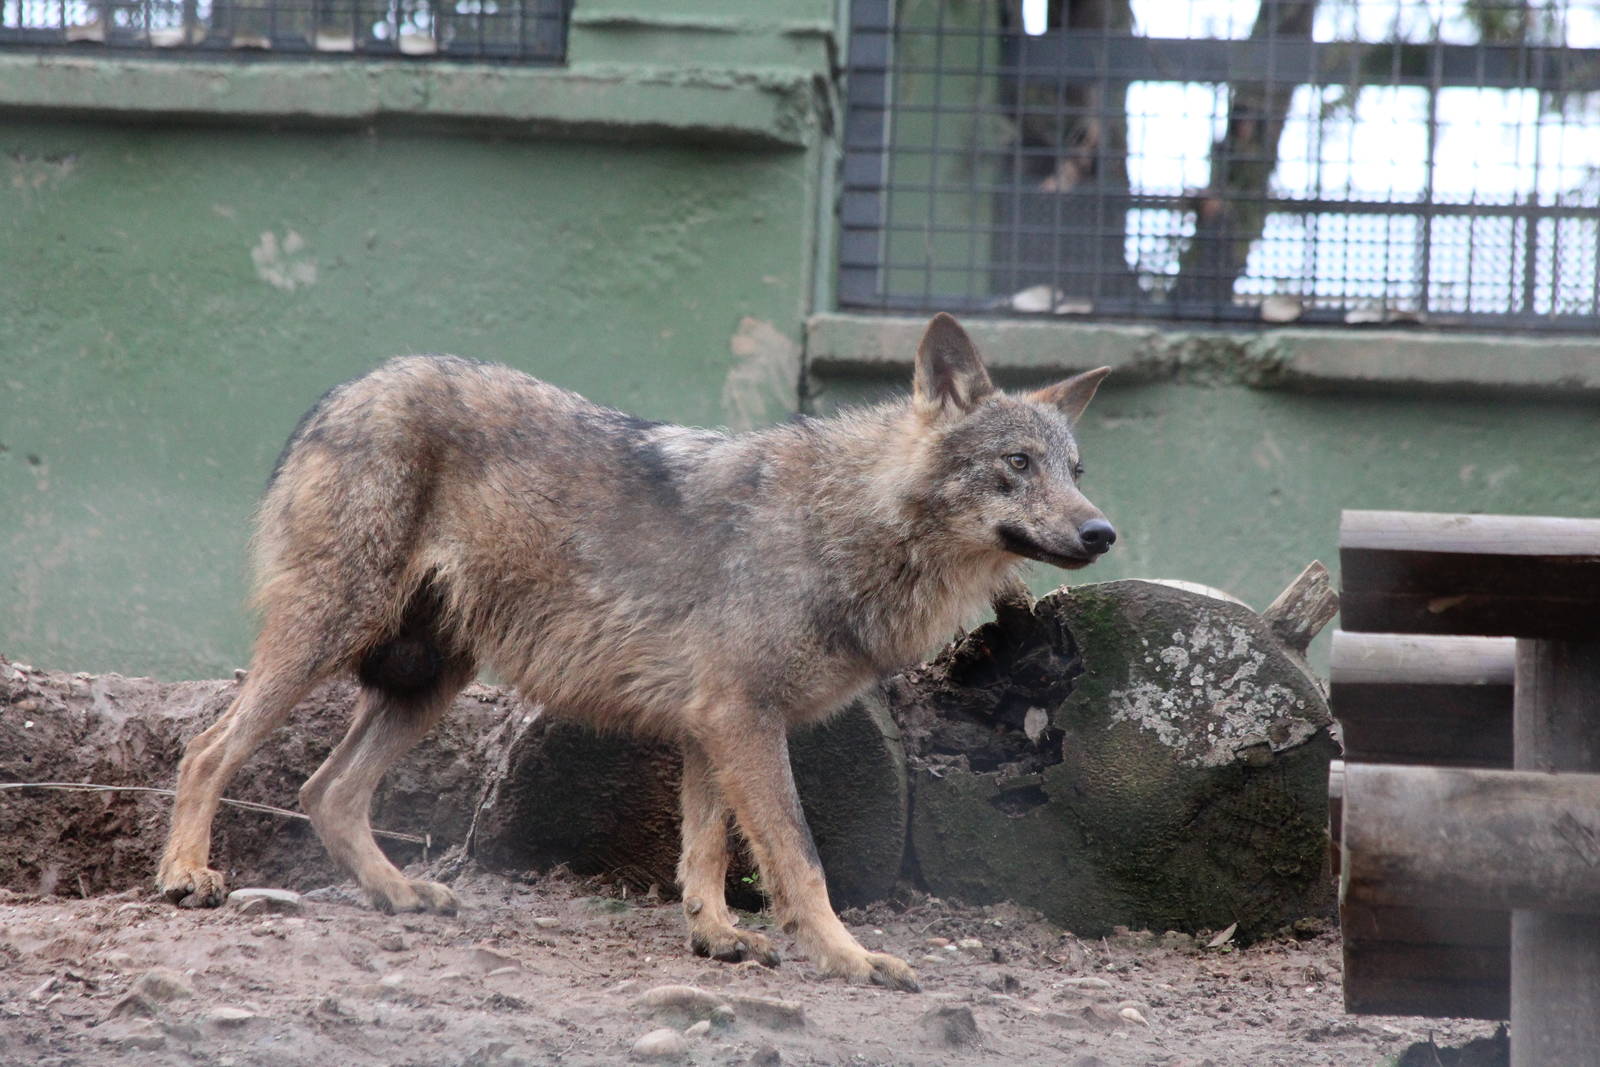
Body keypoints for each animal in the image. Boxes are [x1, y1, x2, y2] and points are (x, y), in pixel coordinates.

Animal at [156, 312, 1115, 991]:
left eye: (1076, 471)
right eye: (1016, 462)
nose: (1102, 532)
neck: (846, 524)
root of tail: (342, 390)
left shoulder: (709, 727)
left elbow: (707, 851)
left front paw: (716, 935)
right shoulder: (742, 718)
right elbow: (800, 858)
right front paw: (851, 959)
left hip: (430, 679)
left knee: (326, 790)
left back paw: (397, 893)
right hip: (331, 637)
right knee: (206, 750)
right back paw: (187, 876)